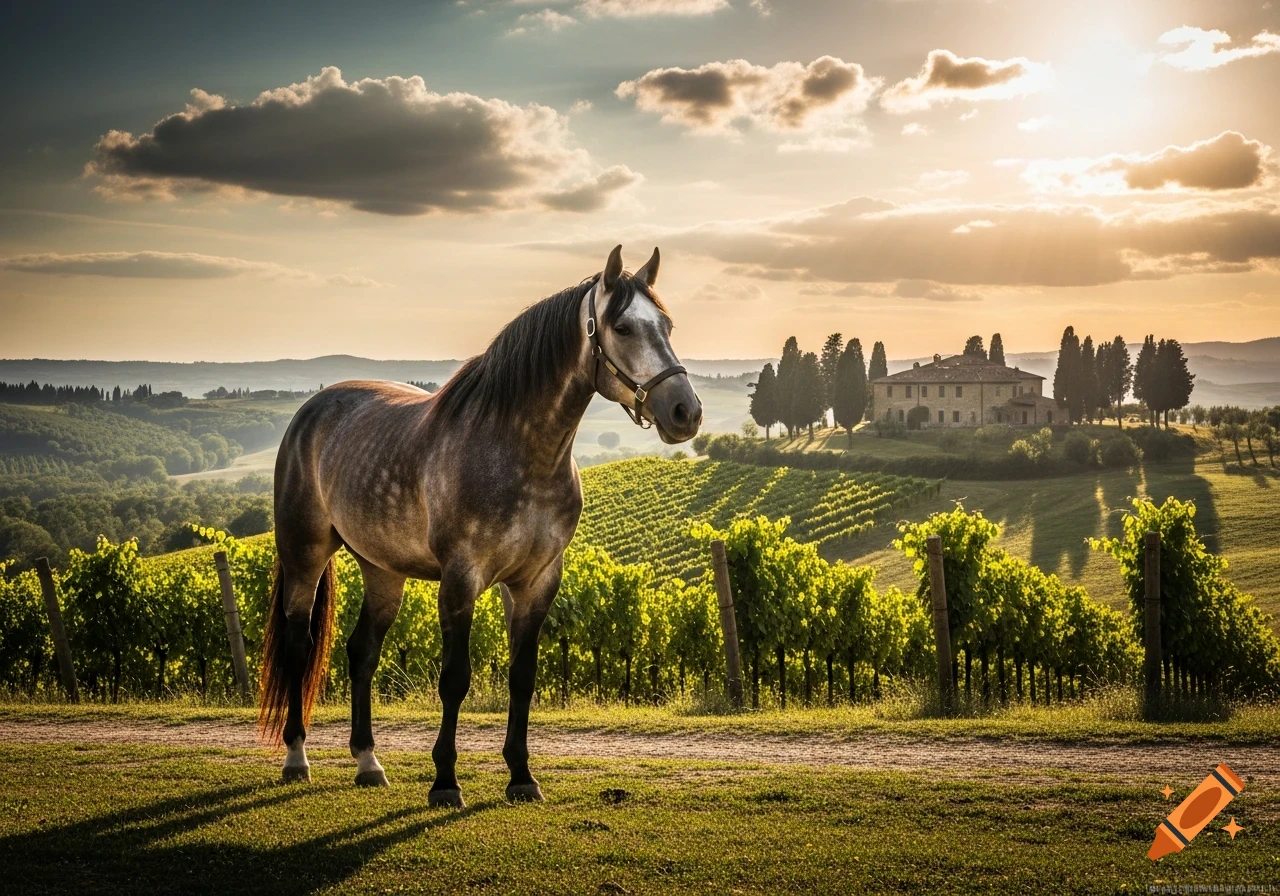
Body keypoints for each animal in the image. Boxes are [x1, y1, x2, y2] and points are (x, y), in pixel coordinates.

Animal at [258, 245, 702, 807]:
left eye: (667, 324)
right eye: (622, 327)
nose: (686, 412)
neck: (518, 451)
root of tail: (310, 412)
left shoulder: (536, 582)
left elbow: (522, 678)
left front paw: (521, 776)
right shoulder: (460, 580)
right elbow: (455, 679)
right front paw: (445, 783)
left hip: (383, 570)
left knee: (362, 653)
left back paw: (368, 762)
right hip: (304, 555)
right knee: (298, 648)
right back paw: (297, 757)